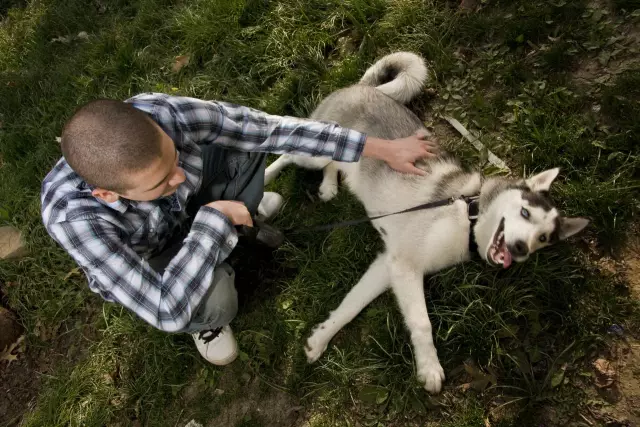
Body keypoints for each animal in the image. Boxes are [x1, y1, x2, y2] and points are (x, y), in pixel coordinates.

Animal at [264, 51, 592, 392]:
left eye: (543, 239)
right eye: (525, 213)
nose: (519, 249)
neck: (469, 215)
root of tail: (362, 86)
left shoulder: (388, 265)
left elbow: (351, 304)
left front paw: (320, 338)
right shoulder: (405, 266)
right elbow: (421, 323)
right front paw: (429, 367)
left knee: (331, 163)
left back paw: (329, 185)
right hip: (312, 153)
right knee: (289, 151)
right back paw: (266, 177)